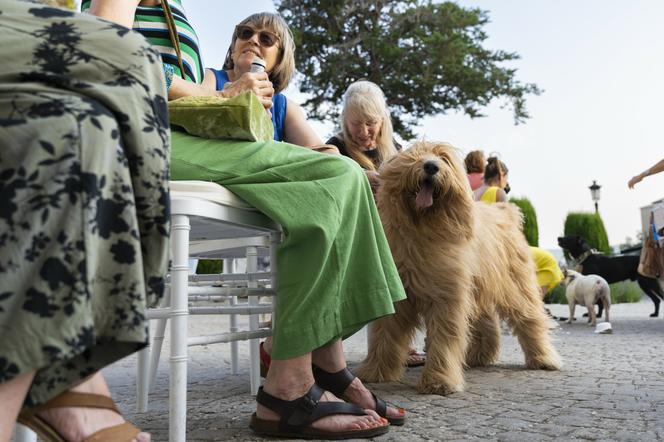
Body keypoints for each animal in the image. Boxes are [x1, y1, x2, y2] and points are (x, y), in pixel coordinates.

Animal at [356, 141, 564, 394]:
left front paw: (439, 380)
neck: (421, 227)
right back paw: (481, 356)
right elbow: (384, 334)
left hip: (516, 286)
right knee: (487, 323)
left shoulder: (447, 296)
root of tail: (506, 214)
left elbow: (444, 338)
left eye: (444, 158)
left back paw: (543, 358)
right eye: (416, 155)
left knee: (530, 319)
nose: (431, 167)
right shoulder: (397, 296)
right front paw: (375, 370)